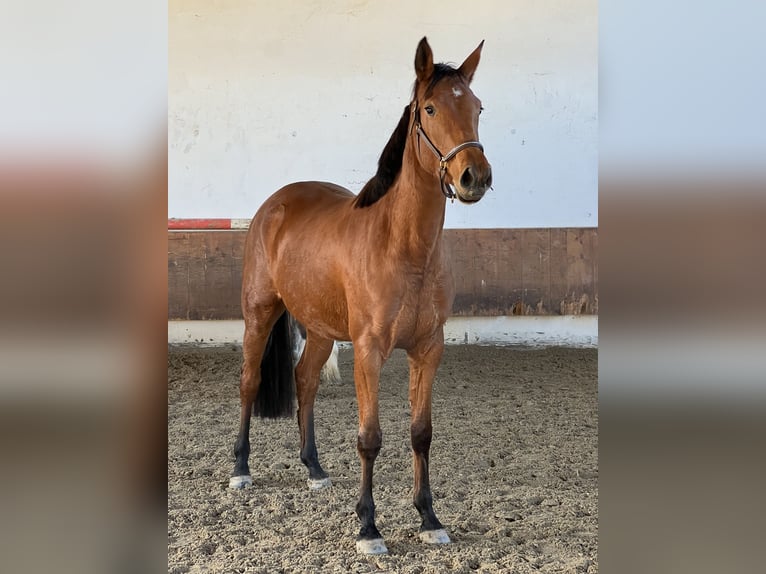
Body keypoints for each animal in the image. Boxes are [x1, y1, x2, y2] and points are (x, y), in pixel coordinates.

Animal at [229, 37, 492, 555]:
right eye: (429, 109)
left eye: (476, 106)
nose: (475, 176)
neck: (405, 247)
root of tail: (274, 205)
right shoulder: (369, 351)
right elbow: (370, 438)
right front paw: (368, 528)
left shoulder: (428, 349)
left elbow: (421, 433)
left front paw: (429, 518)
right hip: (260, 314)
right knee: (250, 382)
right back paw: (241, 468)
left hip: (321, 331)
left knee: (305, 381)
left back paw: (313, 468)